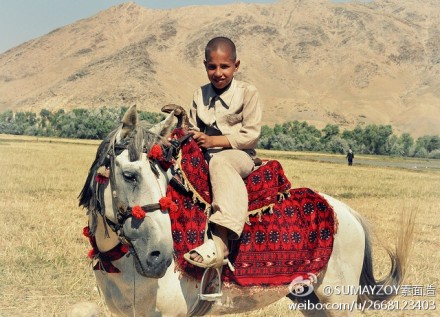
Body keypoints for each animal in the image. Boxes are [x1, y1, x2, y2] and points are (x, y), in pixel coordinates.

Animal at [78, 105, 412, 314]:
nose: (159, 256)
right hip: (309, 299)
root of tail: (348, 214)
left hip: (338, 300)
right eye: (130, 175)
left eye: (167, 177)